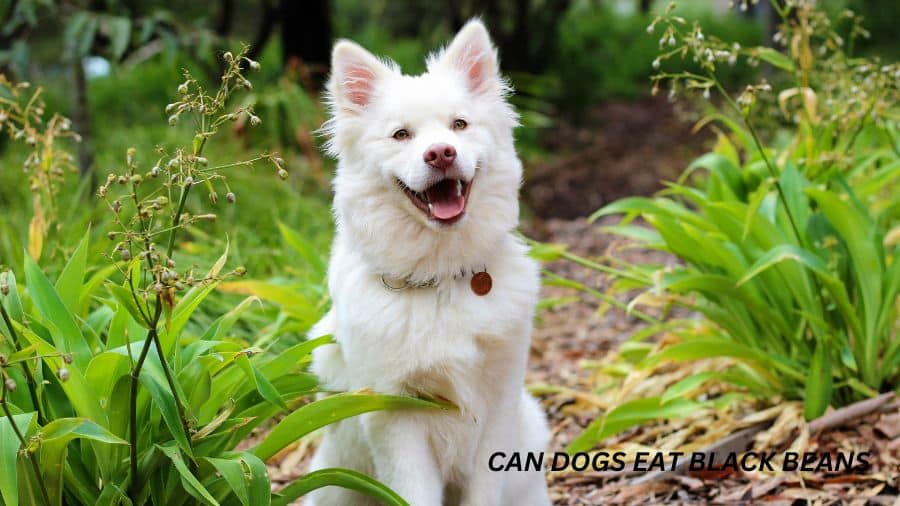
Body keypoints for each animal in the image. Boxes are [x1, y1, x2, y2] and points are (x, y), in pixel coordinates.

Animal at [308, 19, 548, 506]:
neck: (441, 277)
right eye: (401, 135)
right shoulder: (395, 417)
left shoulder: (497, 406)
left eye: (459, 125)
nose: (441, 153)